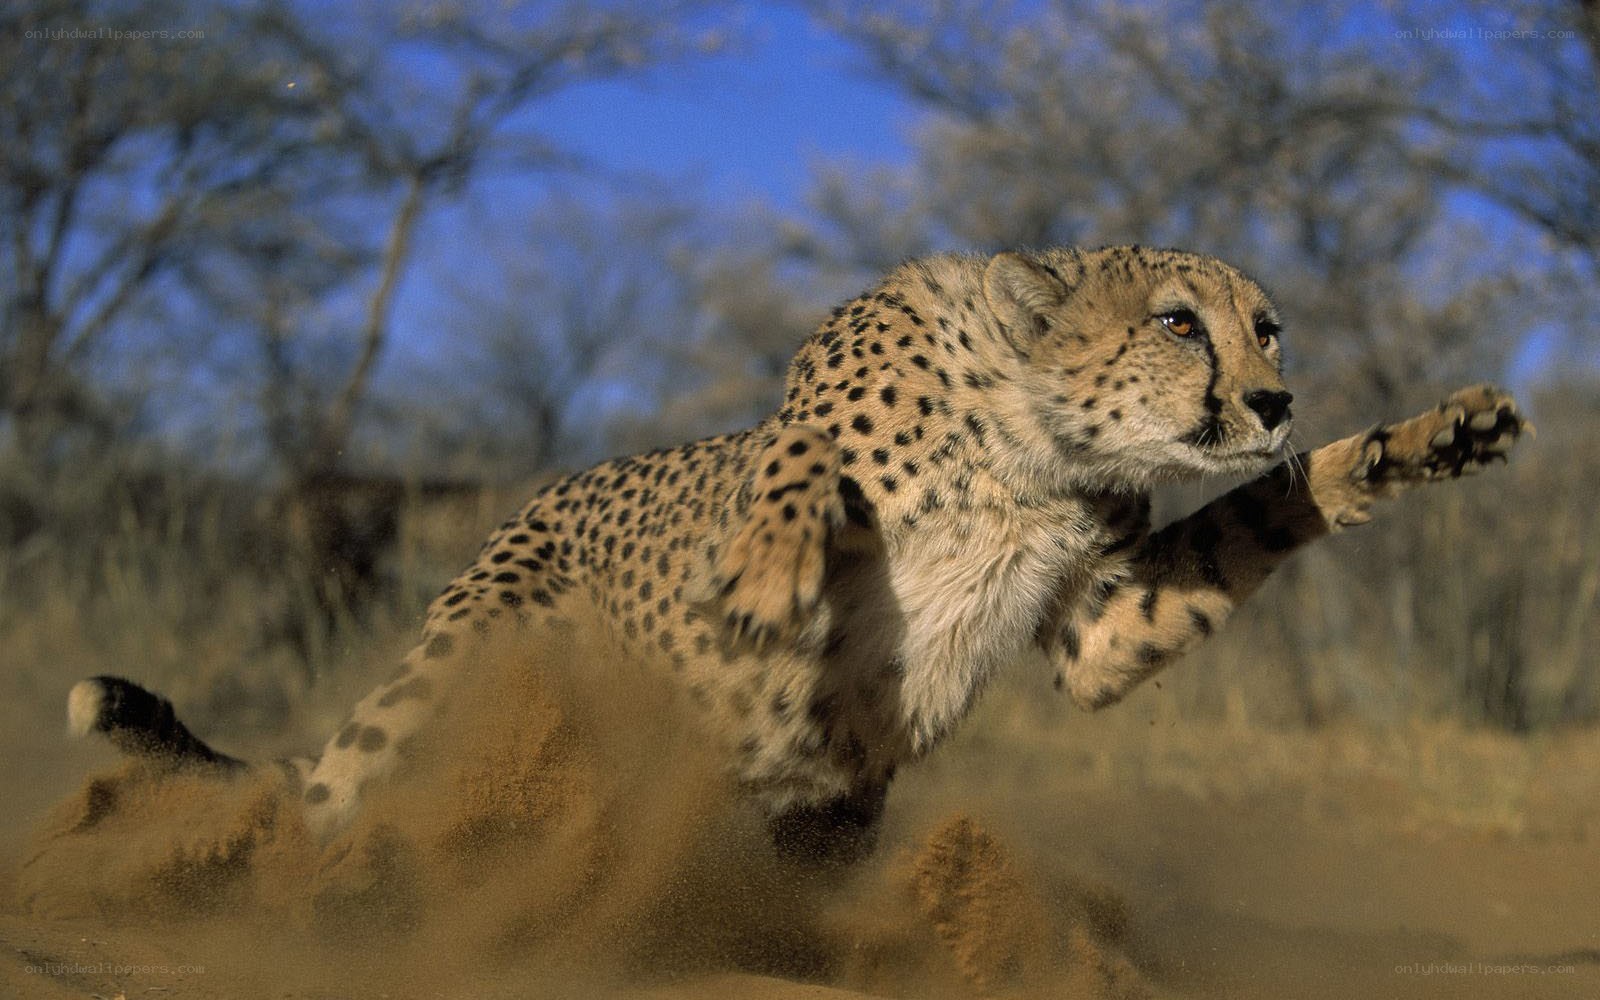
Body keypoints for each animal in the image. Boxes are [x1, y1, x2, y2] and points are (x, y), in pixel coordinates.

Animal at [69, 245, 1528, 862]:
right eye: (1179, 322)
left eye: (1267, 328)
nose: (1275, 398)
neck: (1033, 449)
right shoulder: (808, 409)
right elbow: (796, 465)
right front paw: (773, 572)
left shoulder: (1101, 624)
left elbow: (1259, 516)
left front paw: (1418, 442)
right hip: (452, 676)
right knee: (337, 801)